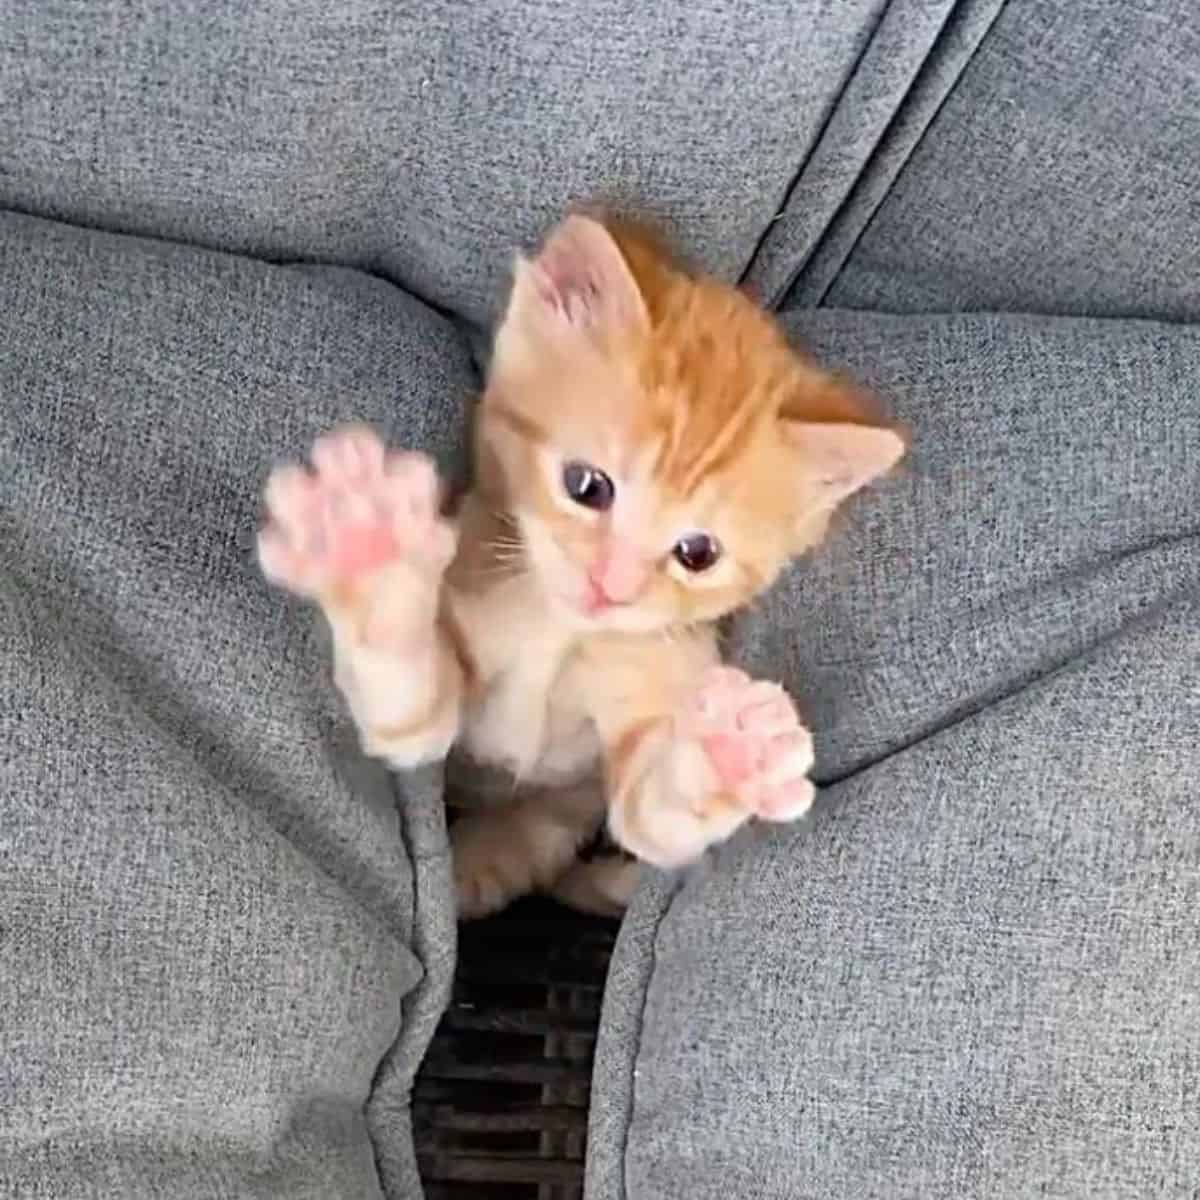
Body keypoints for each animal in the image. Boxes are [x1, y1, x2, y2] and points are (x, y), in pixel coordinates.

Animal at [260, 213, 902, 916]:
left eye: (697, 553)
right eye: (587, 486)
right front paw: (368, 549)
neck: (559, 635)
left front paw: (727, 755)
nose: (609, 588)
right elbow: (414, 715)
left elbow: (651, 816)